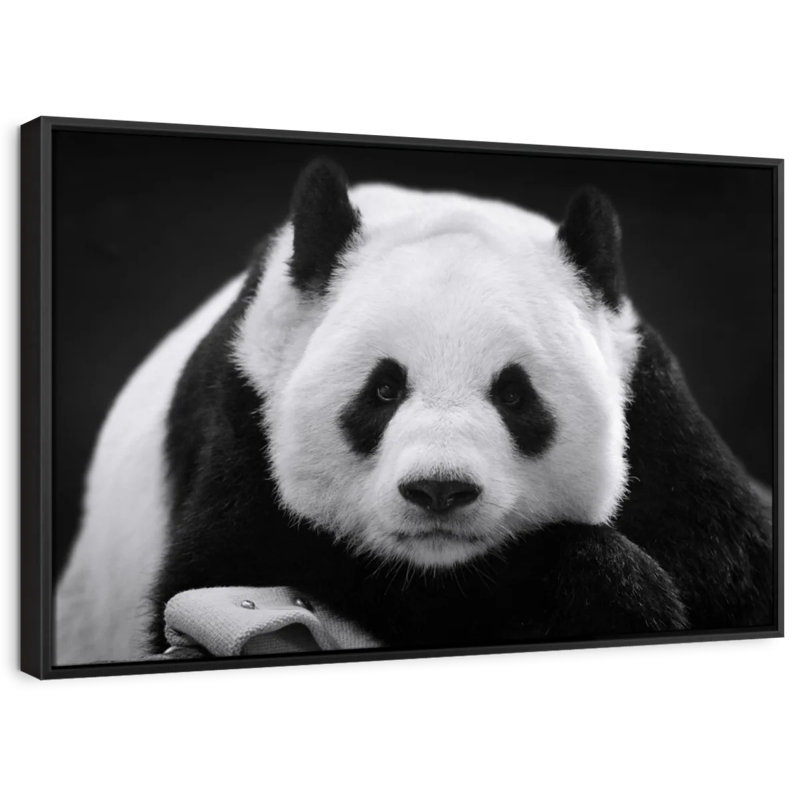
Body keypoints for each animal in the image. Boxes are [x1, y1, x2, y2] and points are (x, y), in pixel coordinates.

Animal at [55, 158, 773, 665]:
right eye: (383, 390)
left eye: (514, 394)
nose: (439, 491)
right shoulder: (246, 411)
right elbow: (228, 569)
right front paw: (606, 589)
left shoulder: (659, 425)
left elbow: (734, 571)